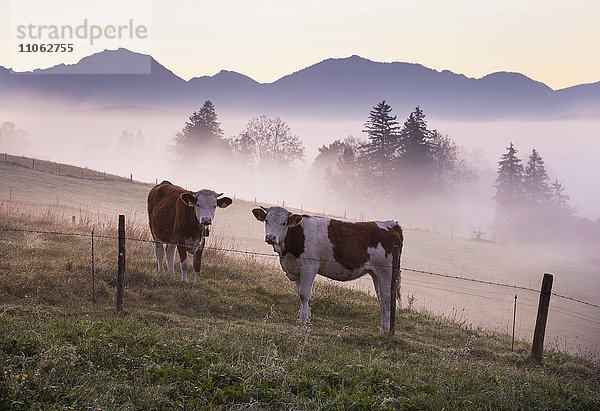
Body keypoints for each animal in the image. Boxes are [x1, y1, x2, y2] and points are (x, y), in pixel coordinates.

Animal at [253, 206, 404, 334]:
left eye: (284, 223)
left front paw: (303, 322)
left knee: (386, 298)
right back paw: (383, 328)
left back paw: (385, 331)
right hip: (376, 274)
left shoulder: (309, 267)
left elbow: (304, 294)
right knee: (381, 298)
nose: (271, 237)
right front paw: (305, 319)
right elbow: (302, 294)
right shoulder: (296, 270)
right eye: (266, 220)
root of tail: (392, 224)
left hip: (386, 273)